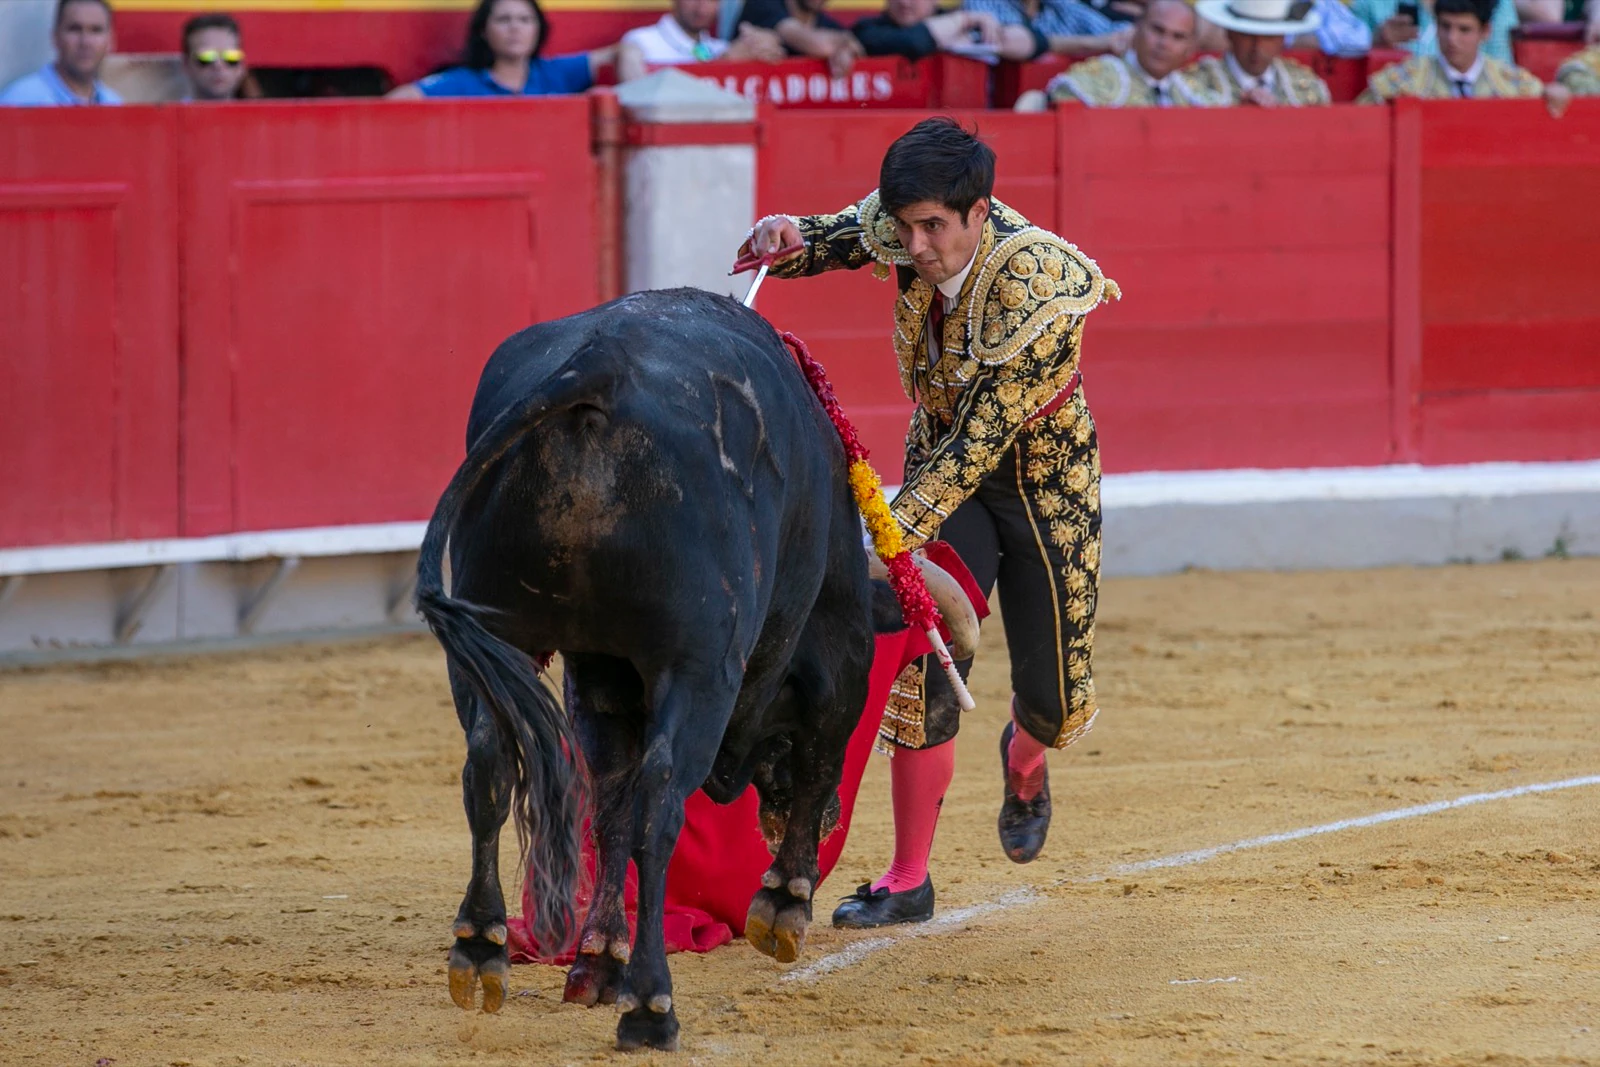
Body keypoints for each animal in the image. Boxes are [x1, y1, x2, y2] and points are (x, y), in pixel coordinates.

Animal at [412, 289, 960, 1049]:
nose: (823, 826)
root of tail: (598, 369)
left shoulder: (600, 677)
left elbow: (608, 807)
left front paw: (597, 961)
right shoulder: (837, 642)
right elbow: (823, 747)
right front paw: (784, 903)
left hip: (495, 635)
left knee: (491, 765)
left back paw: (481, 948)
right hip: (699, 669)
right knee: (660, 806)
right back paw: (652, 1006)